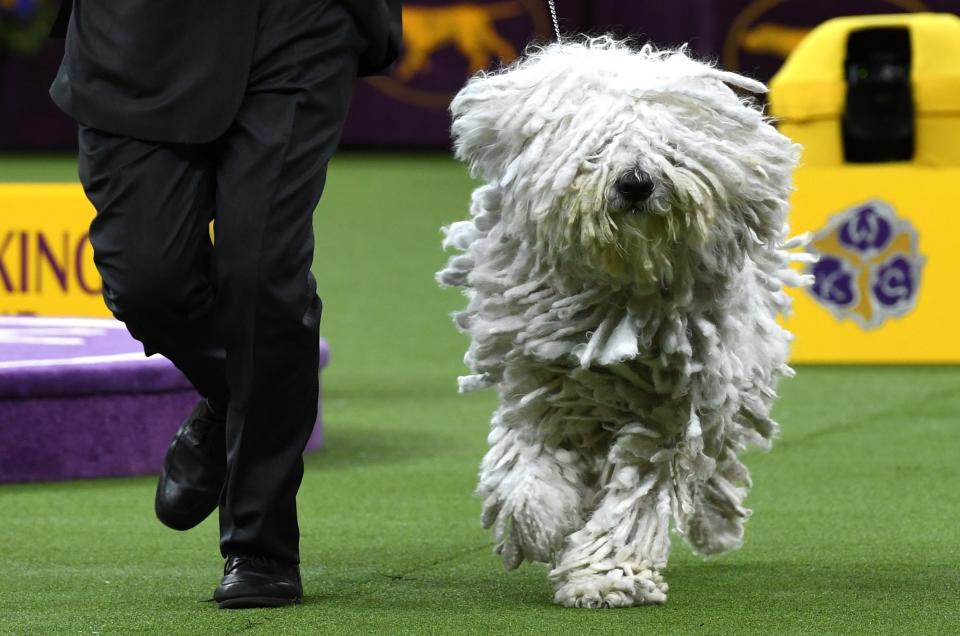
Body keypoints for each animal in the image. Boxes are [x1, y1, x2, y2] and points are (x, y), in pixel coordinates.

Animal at [436, 37, 808, 608]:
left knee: (718, 456)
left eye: (669, 147)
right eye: (599, 146)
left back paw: (716, 525)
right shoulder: (543, 384)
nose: (635, 183)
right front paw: (538, 524)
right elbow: (527, 467)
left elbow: (638, 493)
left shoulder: (670, 410)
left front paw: (605, 575)